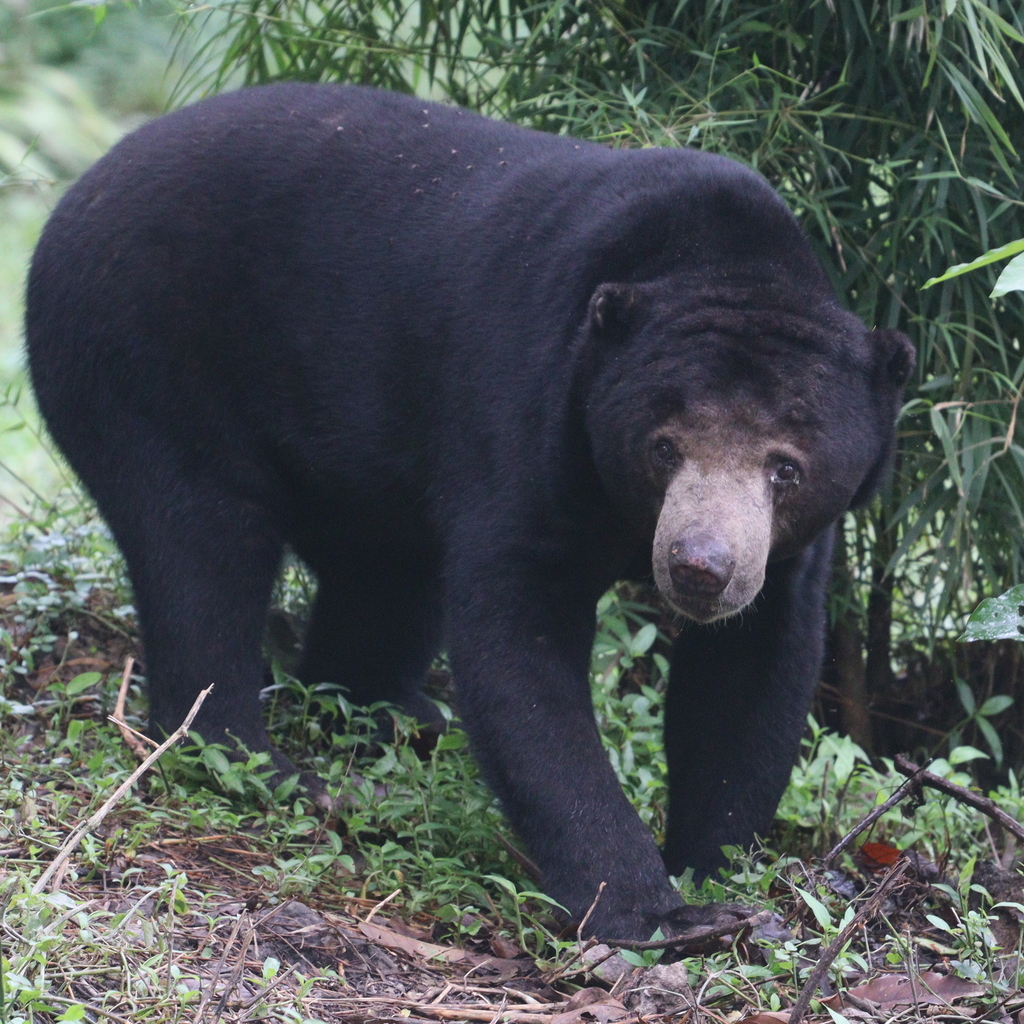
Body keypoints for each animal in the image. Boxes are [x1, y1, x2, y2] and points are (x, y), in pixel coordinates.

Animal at [26, 83, 914, 941]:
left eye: (785, 468)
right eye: (663, 448)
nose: (699, 568)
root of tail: (80, 192)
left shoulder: (786, 552)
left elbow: (751, 668)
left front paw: (717, 872)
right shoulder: (531, 409)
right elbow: (519, 640)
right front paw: (657, 913)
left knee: (378, 576)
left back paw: (391, 715)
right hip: (147, 353)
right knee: (203, 543)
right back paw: (263, 762)